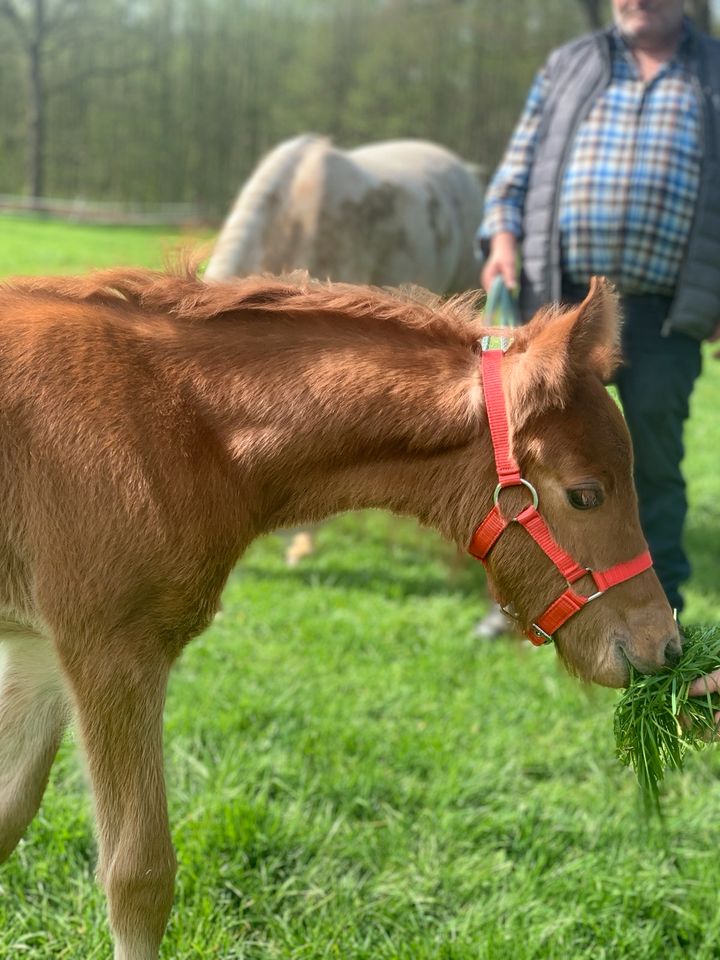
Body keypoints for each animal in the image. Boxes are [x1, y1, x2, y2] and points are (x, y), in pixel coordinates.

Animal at [0, 272, 676, 960]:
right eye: (586, 495)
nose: (664, 645)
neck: (178, 426)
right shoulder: (114, 649)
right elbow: (139, 876)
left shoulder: (39, 646)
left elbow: (9, 815)